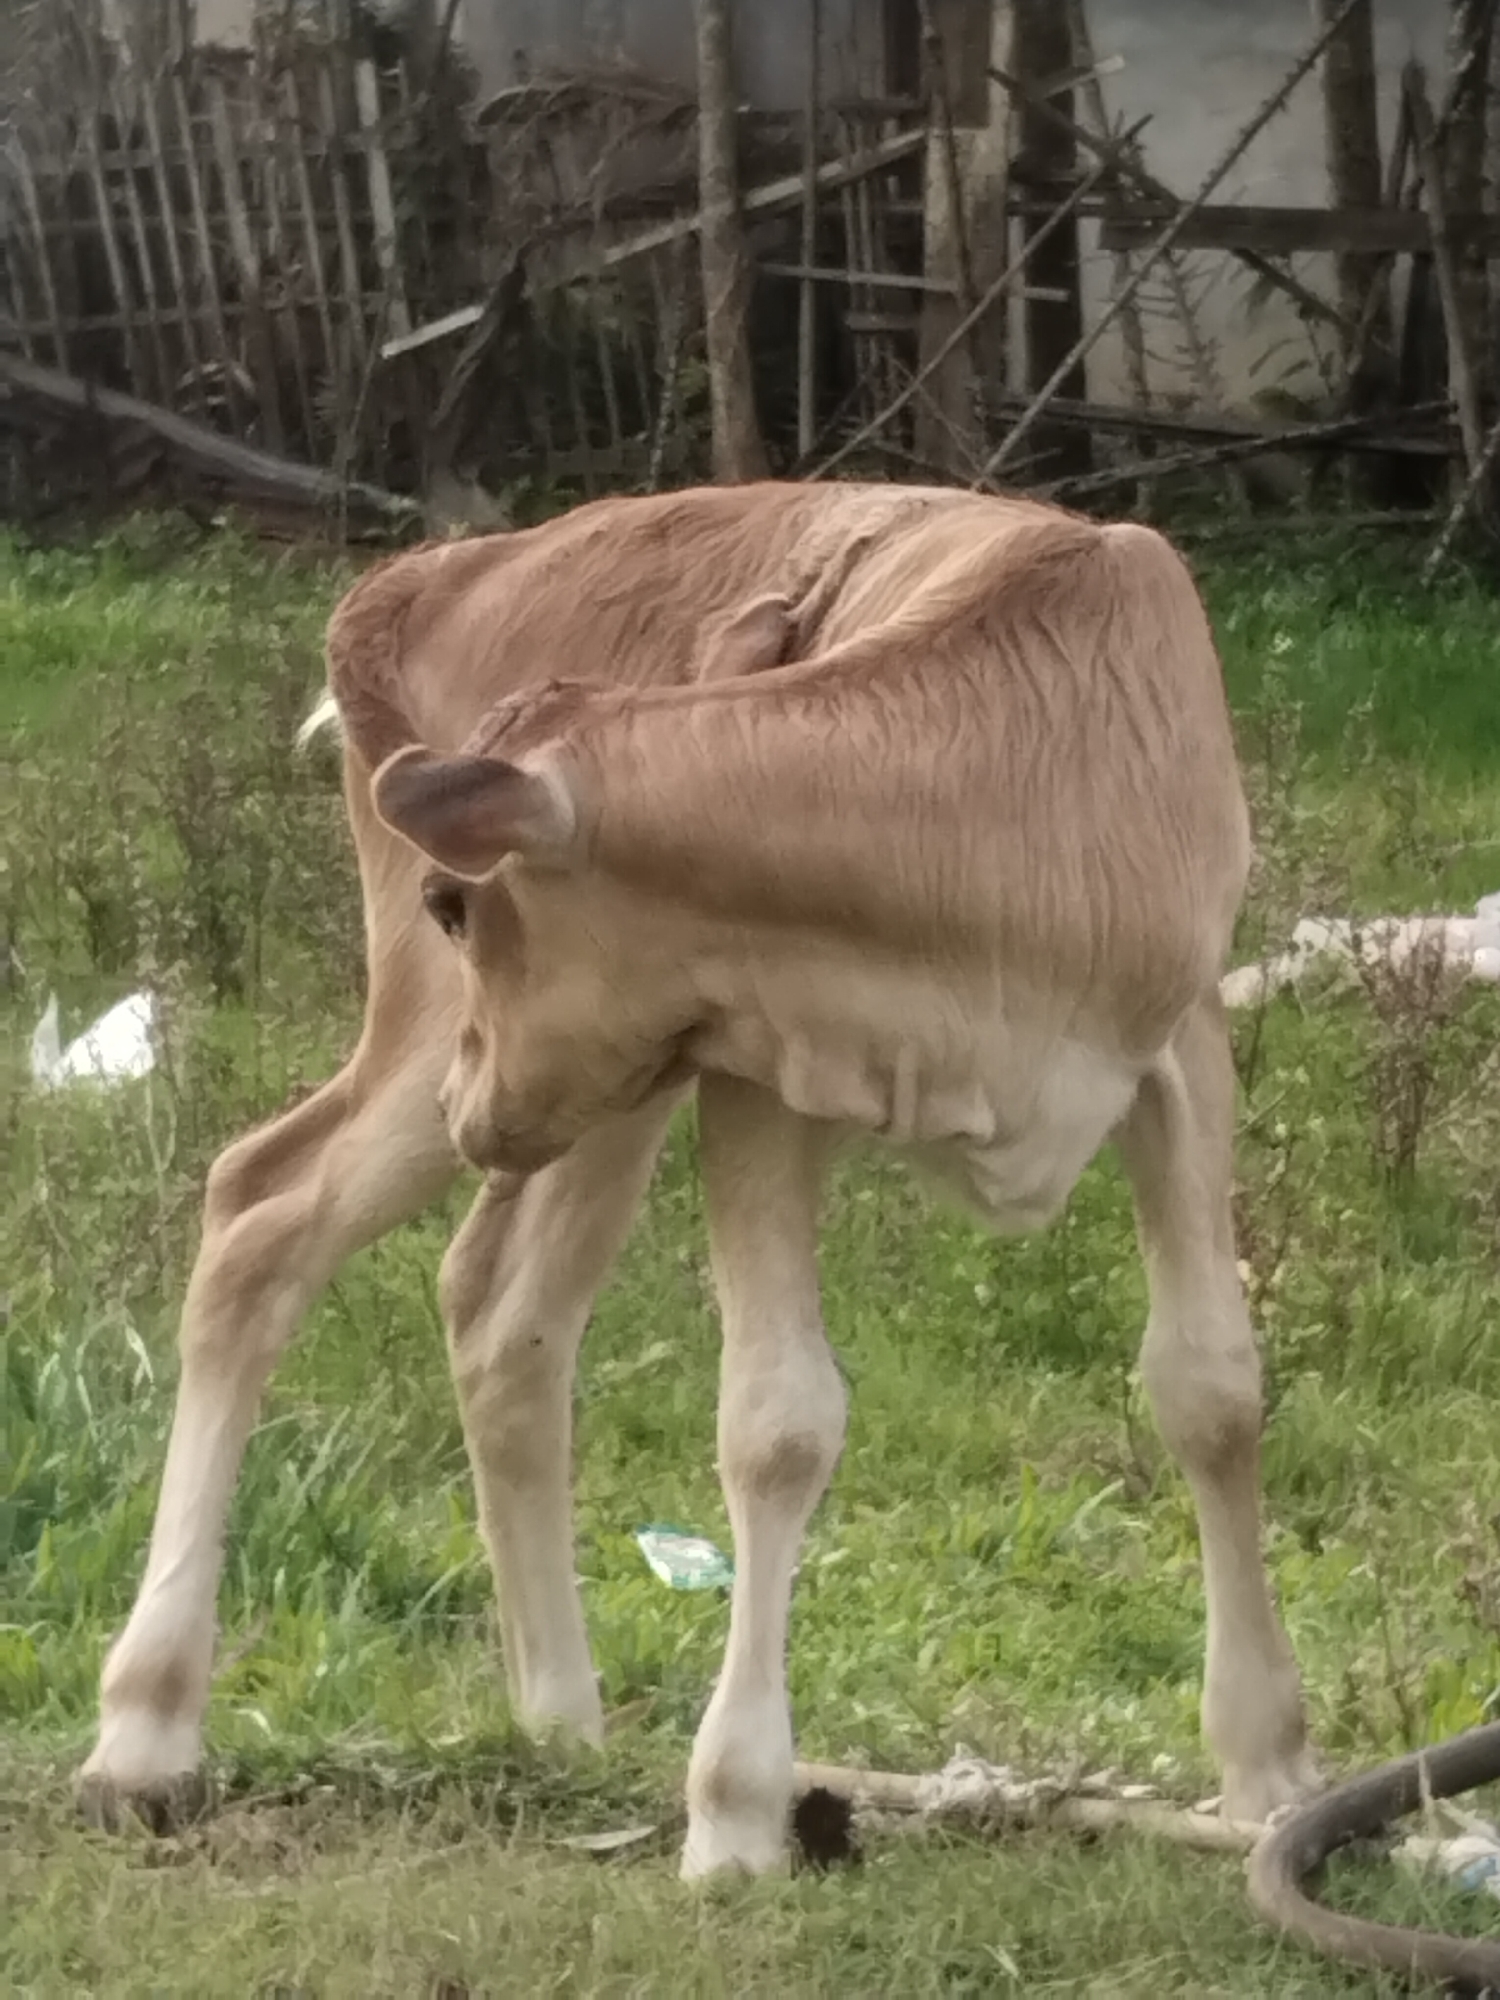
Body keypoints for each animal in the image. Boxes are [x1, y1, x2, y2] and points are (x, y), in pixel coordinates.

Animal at [78, 480, 1318, 1878]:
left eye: (461, 902)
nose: (467, 1101)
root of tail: (438, 571)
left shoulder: (1181, 1042)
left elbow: (1210, 1383)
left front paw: (1271, 1767)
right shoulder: (761, 1071)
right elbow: (778, 1418)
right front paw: (735, 1804)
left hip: (595, 1084)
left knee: (500, 1307)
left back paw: (560, 1714)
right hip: (479, 1055)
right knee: (263, 1211)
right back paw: (144, 1729)